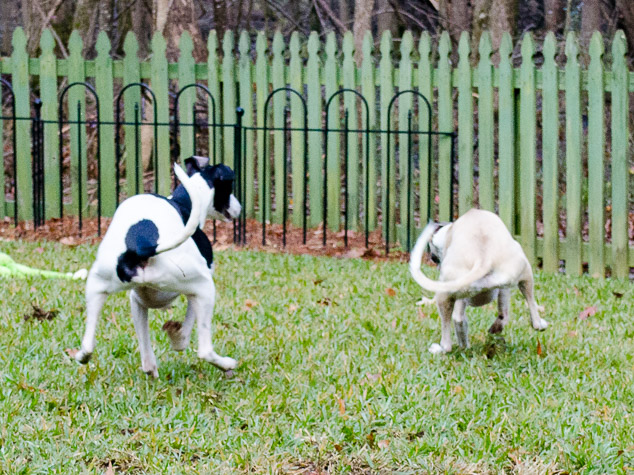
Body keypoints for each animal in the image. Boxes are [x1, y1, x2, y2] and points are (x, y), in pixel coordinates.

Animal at [74, 158, 241, 378]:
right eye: (229, 188)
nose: (239, 208)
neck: (183, 201)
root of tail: (143, 244)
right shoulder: (196, 292)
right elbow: (185, 331)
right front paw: (177, 336)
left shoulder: (136, 302)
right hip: (205, 288)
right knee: (205, 351)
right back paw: (226, 364)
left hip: (95, 288)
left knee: (88, 346)